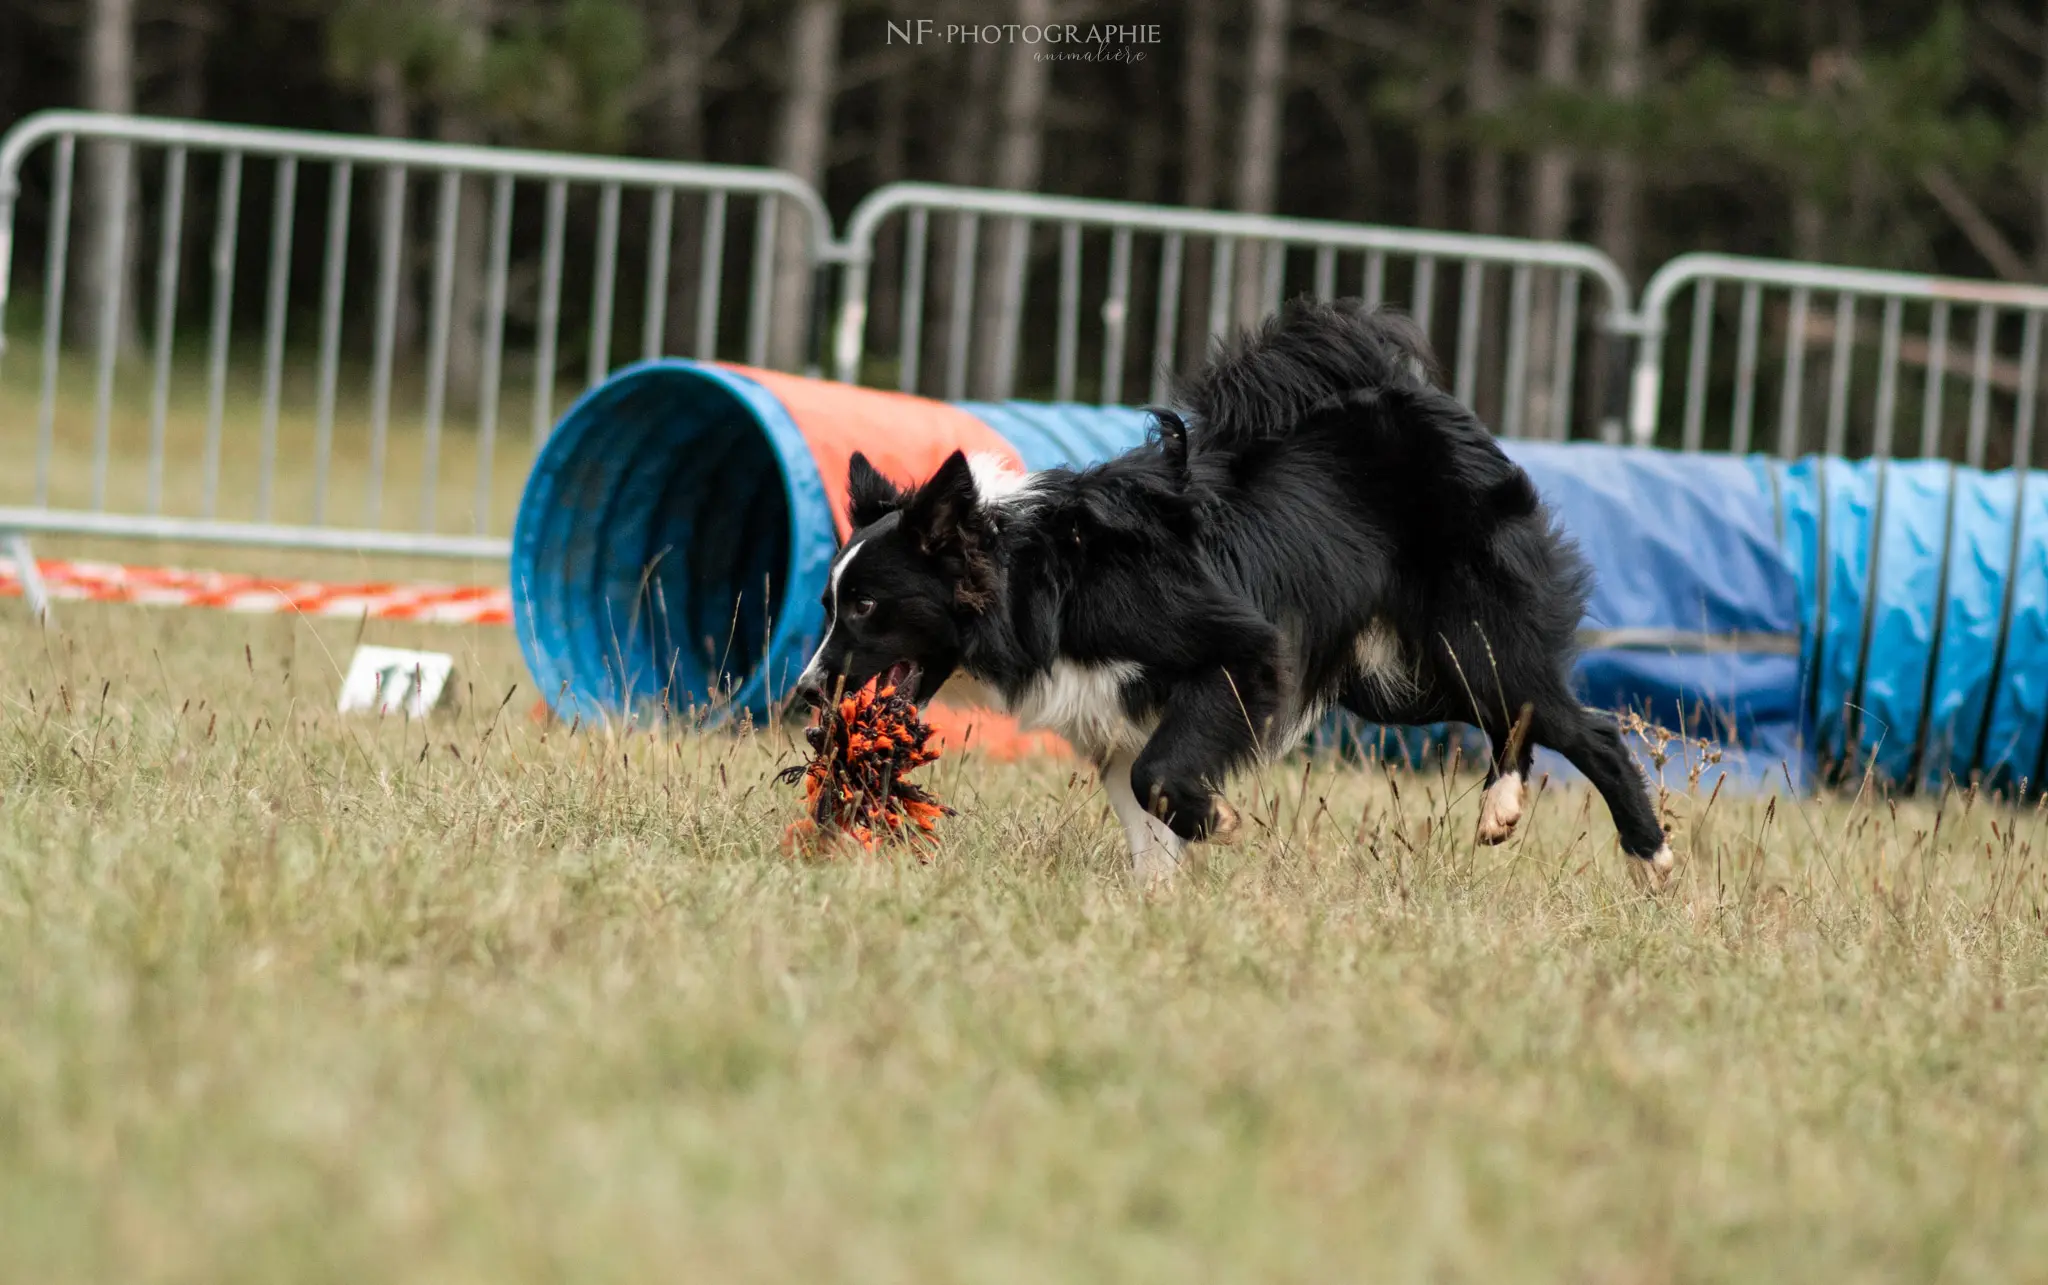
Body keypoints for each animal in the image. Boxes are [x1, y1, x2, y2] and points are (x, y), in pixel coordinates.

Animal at [790, 301, 1671, 885]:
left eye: (866, 606)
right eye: (828, 606)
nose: (804, 697)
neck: (1032, 574)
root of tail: (1430, 407)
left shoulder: (1240, 649)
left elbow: (1157, 776)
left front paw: (1222, 821)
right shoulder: (1112, 711)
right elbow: (1140, 812)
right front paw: (1155, 903)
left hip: (1467, 630)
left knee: (1584, 725)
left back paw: (1652, 859)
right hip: (1394, 675)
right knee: (1507, 714)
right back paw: (1503, 805)